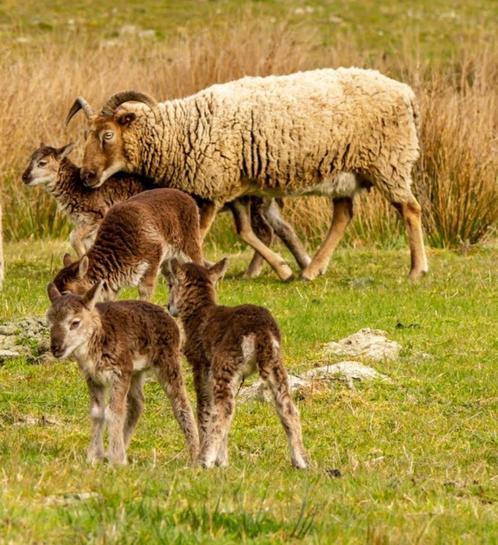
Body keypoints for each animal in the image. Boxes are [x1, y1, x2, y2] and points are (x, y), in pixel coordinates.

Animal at [46, 280, 198, 464]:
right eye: (49, 321)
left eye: (75, 322)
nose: (56, 348)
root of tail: (170, 318)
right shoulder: (93, 377)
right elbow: (97, 413)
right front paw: (94, 456)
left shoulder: (120, 371)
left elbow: (114, 411)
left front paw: (117, 460)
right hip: (137, 372)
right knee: (137, 403)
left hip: (168, 360)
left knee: (181, 402)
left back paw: (196, 456)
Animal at [52, 188, 202, 300]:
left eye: (66, 292)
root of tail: (190, 199)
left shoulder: (152, 259)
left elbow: (145, 291)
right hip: (168, 261)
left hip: (189, 249)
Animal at [68, 68, 430, 280]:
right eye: (86, 135)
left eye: (107, 135)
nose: (87, 176)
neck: (180, 130)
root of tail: (407, 93)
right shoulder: (233, 186)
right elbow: (244, 232)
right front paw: (280, 268)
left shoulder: (211, 187)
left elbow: (200, 235)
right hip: (344, 172)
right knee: (343, 216)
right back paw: (311, 270)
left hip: (389, 162)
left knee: (410, 209)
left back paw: (416, 270)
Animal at [167, 256, 308, 468]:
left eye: (170, 285)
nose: (168, 307)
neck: (198, 313)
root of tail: (261, 332)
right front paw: (223, 462)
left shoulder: (201, 365)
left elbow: (205, 410)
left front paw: (215, 460)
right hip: (273, 364)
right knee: (288, 408)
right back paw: (301, 462)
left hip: (225, 364)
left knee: (224, 409)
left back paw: (204, 460)